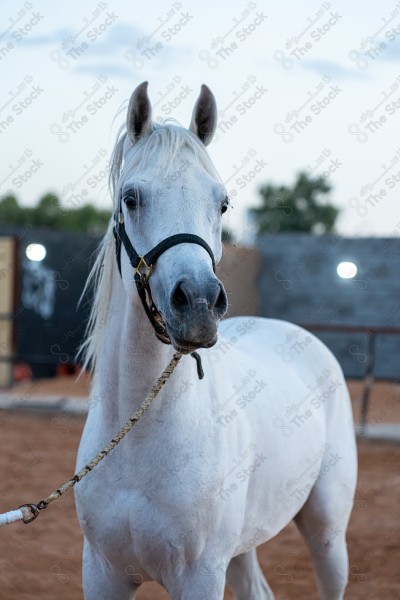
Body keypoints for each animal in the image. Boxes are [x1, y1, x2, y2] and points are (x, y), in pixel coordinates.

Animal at [75, 81, 356, 600]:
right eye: (131, 198)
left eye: (222, 202)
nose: (200, 303)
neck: (139, 439)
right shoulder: (102, 572)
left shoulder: (201, 576)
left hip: (328, 533)